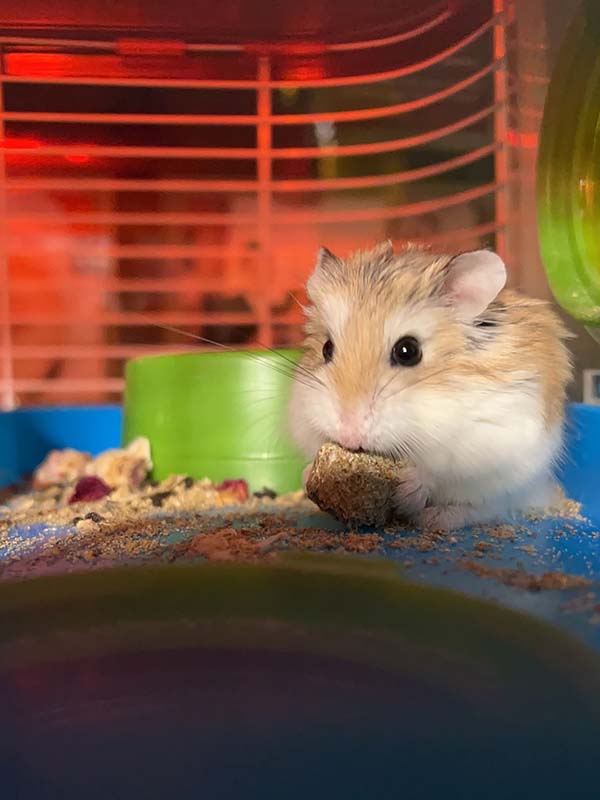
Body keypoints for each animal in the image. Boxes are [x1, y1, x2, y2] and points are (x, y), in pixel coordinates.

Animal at [289, 240, 573, 530]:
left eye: (408, 351)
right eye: (326, 348)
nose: (349, 436)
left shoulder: (489, 435)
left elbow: (438, 467)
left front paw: (406, 488)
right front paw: (309, 474)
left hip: (510, 483)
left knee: (485, 508)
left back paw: (432, 518)